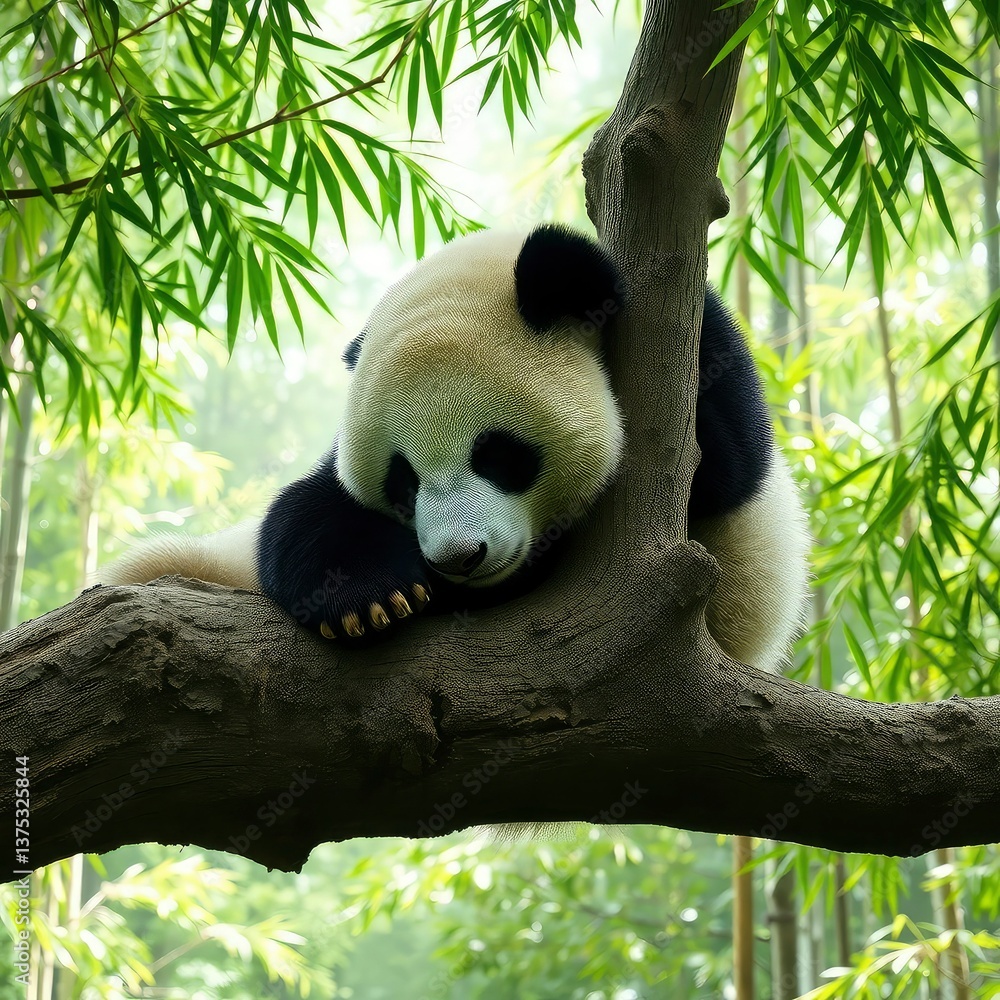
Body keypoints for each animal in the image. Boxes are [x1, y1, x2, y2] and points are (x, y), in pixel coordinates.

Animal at [101, 225, 809, 670]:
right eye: (403, 482)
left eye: (498, 454)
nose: (459, 558)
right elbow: (307, 511)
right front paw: (368, 601)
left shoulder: (703, 362)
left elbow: (725, 466)